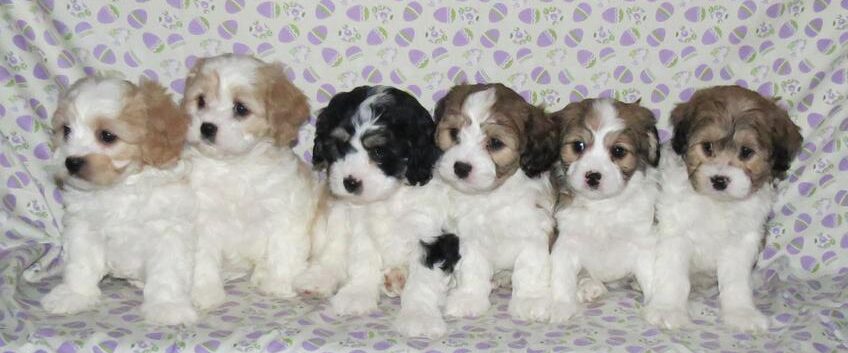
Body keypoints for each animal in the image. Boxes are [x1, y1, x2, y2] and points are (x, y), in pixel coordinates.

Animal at [42, 77, 197, 324]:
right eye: (66, 131)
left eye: (107, 136)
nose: (71, 161)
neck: (119, 188)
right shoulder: (84, 228)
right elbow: (81, 264)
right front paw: (75, 294)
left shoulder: (167, 231)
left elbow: (167, 273)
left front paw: (167, 307)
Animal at [184, 53, 320, 310]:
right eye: (201, 101)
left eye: (241, 108)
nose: (206, 127)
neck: (235, 167)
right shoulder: (202, 217)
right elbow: (203, 258)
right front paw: (205, 293)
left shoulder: (283, 211)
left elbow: (283, 249)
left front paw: (279, 285)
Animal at [294, 86, 454, 324]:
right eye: (339, 146)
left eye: (379, 151)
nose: (350, 182)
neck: (389, 197)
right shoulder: (360, 226)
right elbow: (364, 260)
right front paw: (357, 295)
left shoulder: (430, 233)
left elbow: (423, 280)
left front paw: (418, 316)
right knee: (334, 251)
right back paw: (319, 278)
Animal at [544, 97, 664, 322]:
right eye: (578, 146)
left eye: (618, 151)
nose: (593, 176)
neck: (602, 207)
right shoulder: (566, 242)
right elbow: (561, 277)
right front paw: (561, 306)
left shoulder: (643, 241)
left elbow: (653, 276)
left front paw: (662, 307)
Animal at [644, 85, 804, 330]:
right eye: (707, 147)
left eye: (746, 152)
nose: (719, 180)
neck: (717, 203)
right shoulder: (675, 231)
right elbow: (673, 274)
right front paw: (668, 309)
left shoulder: (742, 240)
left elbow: (736, 281)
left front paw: (741, 312)